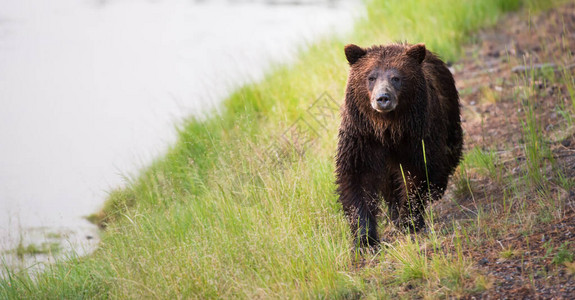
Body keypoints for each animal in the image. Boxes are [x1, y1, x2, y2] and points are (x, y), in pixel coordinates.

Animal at [338, 43, 464, 247]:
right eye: (371, 77)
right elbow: (357, 178)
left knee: (448, 154)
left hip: (449, 115)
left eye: (396, 77)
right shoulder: (362, 137)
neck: (389, 128)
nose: (382, 98)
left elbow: (416, 173)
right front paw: (365, 238)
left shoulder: (417, 136)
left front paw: (409, 220)